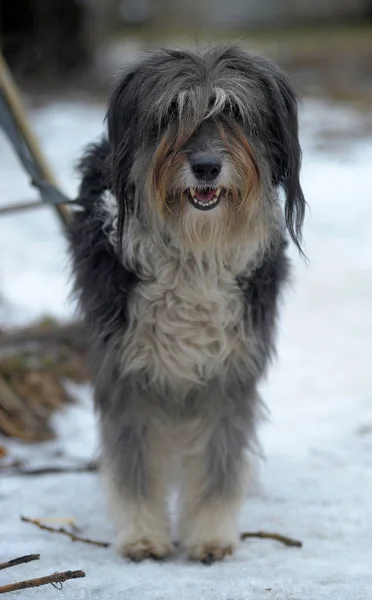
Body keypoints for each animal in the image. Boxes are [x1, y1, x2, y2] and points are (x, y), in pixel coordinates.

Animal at [69, 44, 306, 564]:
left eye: (233, 112)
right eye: (171, 113)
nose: (206, 166)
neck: (195, 250)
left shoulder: (230, 371)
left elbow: (219, 464)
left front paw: (211, 536)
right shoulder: (125, 368)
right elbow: (135, 466)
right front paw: (142, 537)